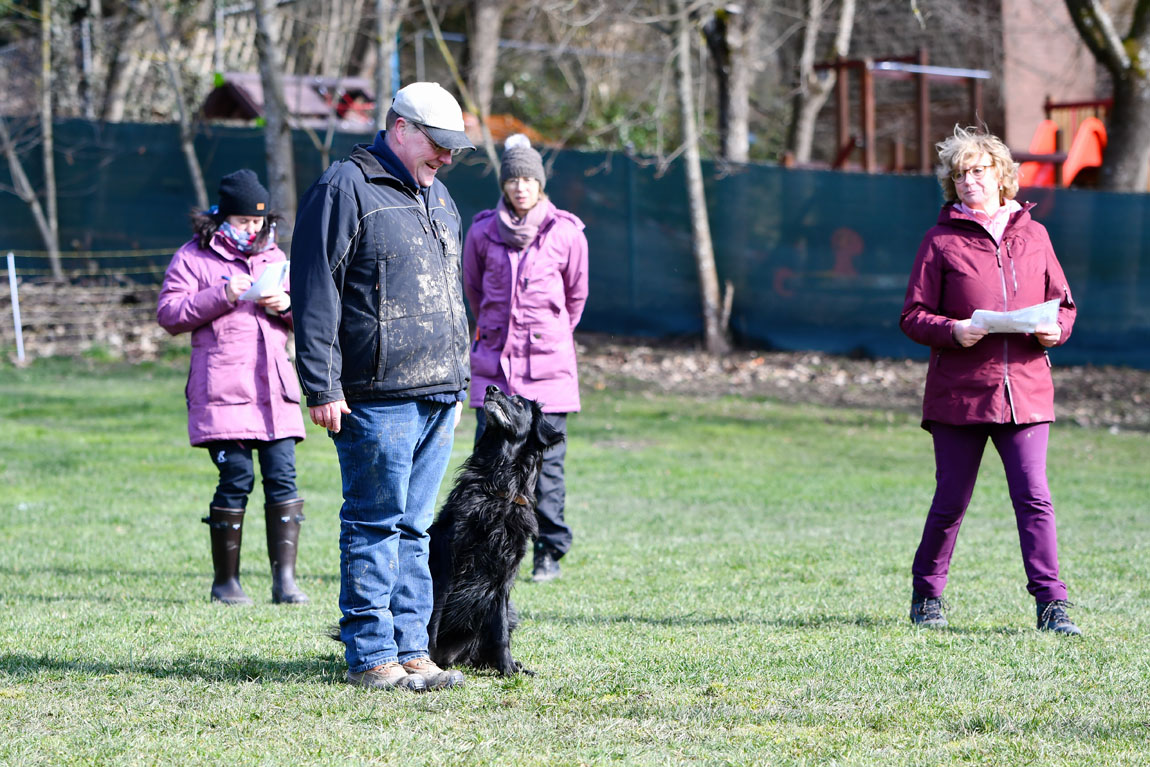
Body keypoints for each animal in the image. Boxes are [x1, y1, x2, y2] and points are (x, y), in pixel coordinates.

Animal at [427, 386, 561, 676]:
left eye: (519, 402)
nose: (491, 388)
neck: (498, 485)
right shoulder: (447, 565)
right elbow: (431, 619)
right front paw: (426, 662)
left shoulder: (503, 576)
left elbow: (499, 633)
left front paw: (508, 669)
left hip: (511, 612)